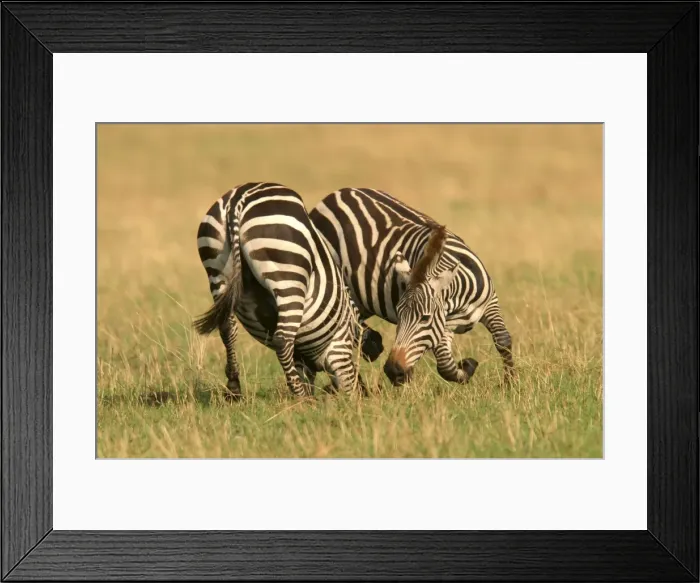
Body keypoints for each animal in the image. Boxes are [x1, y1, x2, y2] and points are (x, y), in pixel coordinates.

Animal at [193, 182, 382, 400]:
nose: (359, 397)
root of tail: (238, 200)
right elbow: (306, 365)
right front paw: (308, 391)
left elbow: (301, 364)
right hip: (288, 273)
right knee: (282, 340)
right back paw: (302, 398)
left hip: (217, 270)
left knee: (227, 328)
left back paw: (234, 389)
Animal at [309, 187, 515, 387]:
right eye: (399, 315)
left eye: (425, 318)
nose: (393, 371)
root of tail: (333, 197)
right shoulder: (443, 329)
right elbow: (445, 366)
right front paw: (468, 367)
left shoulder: (490, 303)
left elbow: (502, 340)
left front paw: (510, 383)